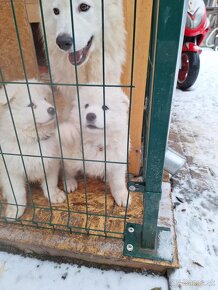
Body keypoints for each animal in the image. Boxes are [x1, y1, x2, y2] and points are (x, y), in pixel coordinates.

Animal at [0, 80, 66, 219]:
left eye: (45, 99)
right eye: (31, 105)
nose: (52, 109)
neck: (33, 139)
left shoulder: (51, 161)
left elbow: (50, 182)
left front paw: (54, 195)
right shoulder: (11, 170)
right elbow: (17, 192)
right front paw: (15, 210)